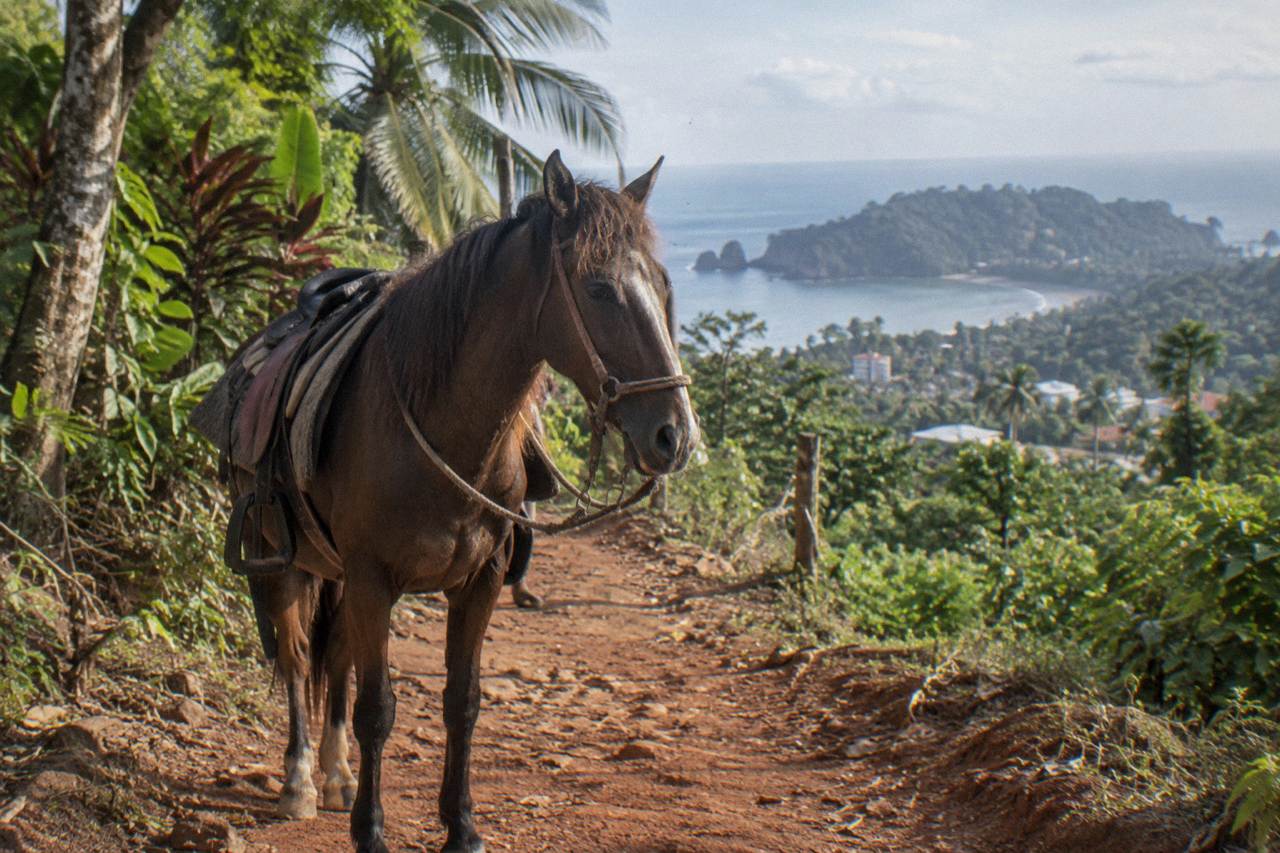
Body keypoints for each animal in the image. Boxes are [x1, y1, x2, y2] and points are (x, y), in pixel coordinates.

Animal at [226, 151, 696, 852]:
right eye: (598, 290)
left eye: (664, 287)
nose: (674, 434)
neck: (443, 426)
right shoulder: (373, 578)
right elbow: (377, 709)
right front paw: (372, 832)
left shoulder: (482, 580)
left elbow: (462, 702)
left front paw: (462, 827)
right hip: (283, 558)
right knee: (299, 655)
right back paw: (301, 781)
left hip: (335, 569)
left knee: (333, 659)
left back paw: (337, 776)